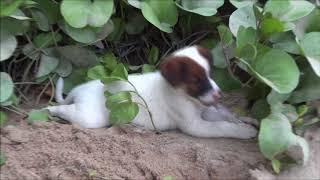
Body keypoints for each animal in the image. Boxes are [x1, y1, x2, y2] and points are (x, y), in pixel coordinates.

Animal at [47, 45, 258, 139]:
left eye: (210, 74)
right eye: (196, 81)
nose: (219, 95)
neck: (182, 94)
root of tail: (80, 89)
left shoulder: (205, 110)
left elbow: (223, 116)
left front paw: (244, 120)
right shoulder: (194, 125)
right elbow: (221, 126)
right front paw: (243, 131)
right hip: (91, 117)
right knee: (63, 110)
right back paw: (49, 110)